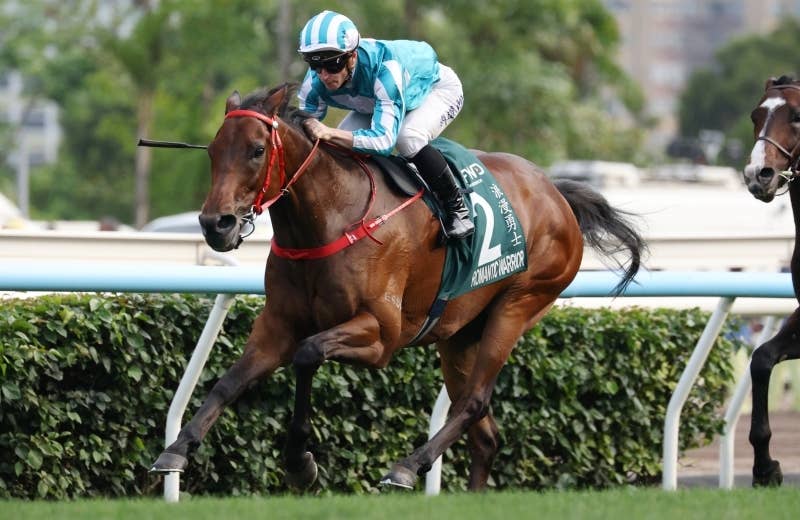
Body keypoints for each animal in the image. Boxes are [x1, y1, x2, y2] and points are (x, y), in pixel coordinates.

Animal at [150, 82, 645, 491]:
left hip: (518, 306)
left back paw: (406, 466)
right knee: (484, 434)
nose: (216, 224)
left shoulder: (381, 335)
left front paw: (299, 461)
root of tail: (556, 192)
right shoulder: (277, 326)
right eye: (213, 151)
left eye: (255, 150)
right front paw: (176, 449)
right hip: (460, 335)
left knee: (474, 403)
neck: (330, 219)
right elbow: (227, 382)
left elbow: (308, 354)